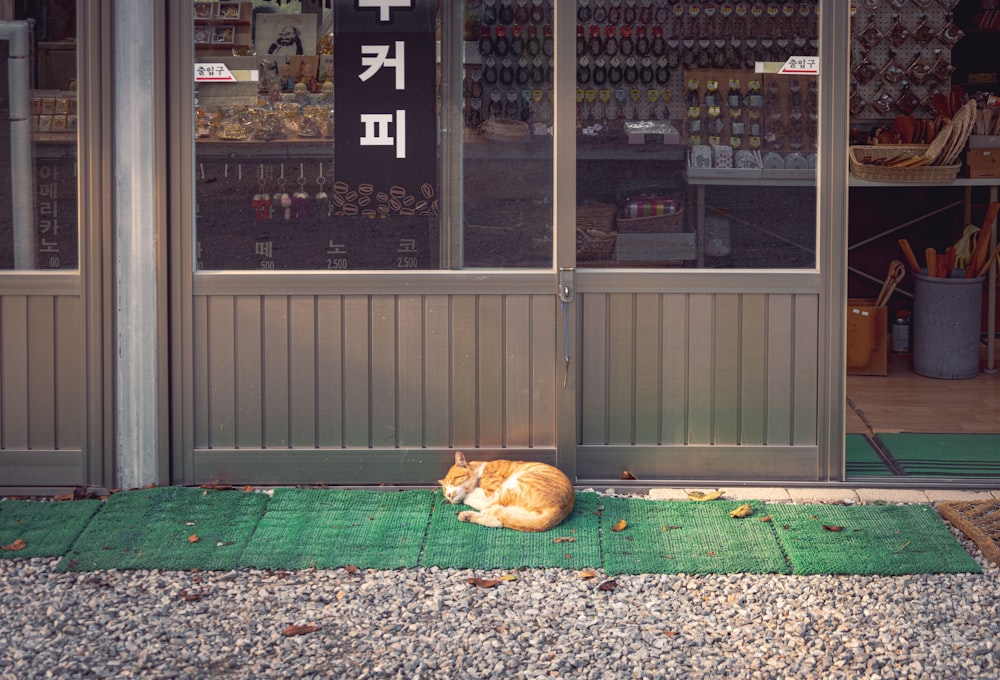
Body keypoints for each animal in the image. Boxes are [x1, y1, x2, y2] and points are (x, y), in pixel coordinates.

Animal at [440, 452, 576, 532]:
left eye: (454, 480)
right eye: (445, 490)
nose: (449, 495)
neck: (480, 471)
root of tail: (559, 509)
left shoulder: (491, 490)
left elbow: (471, 493)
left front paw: (466, 494)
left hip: (512, 484)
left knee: (488, 508)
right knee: (500, 520)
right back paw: (467, 516)